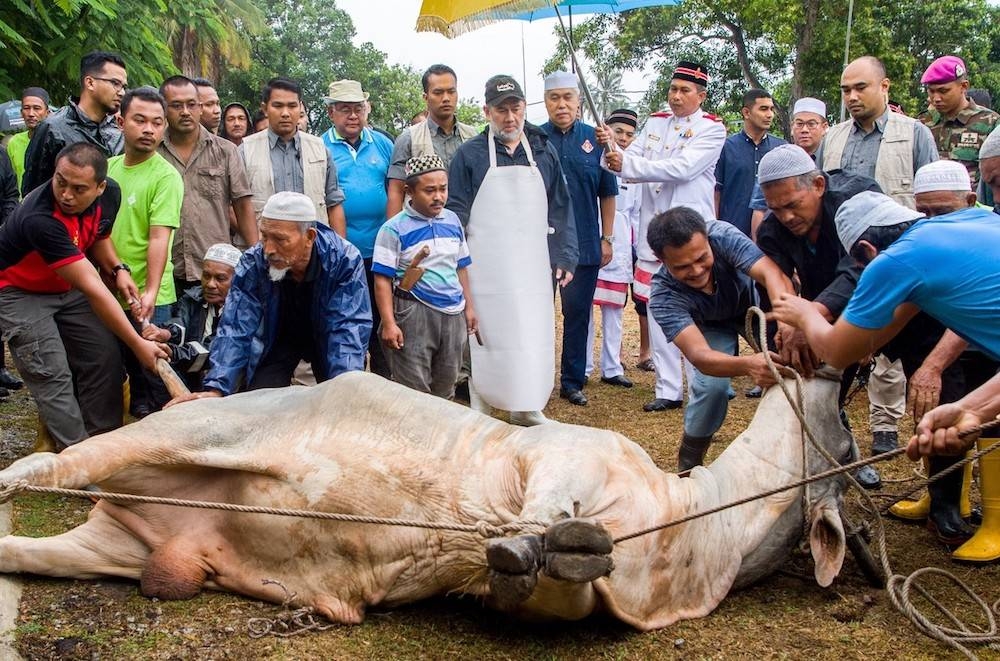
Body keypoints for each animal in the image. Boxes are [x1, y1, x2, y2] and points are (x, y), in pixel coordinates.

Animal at [0, 368, 852, 628]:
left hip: (115, 544)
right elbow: (540, 514)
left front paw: (549, 554)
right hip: (206, 424)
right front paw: (526, 538)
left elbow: (554, 576)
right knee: (58, 462)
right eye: (846, 434)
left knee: (30, 550)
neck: (694, 527)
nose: (833, 369)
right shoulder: (567, 454)